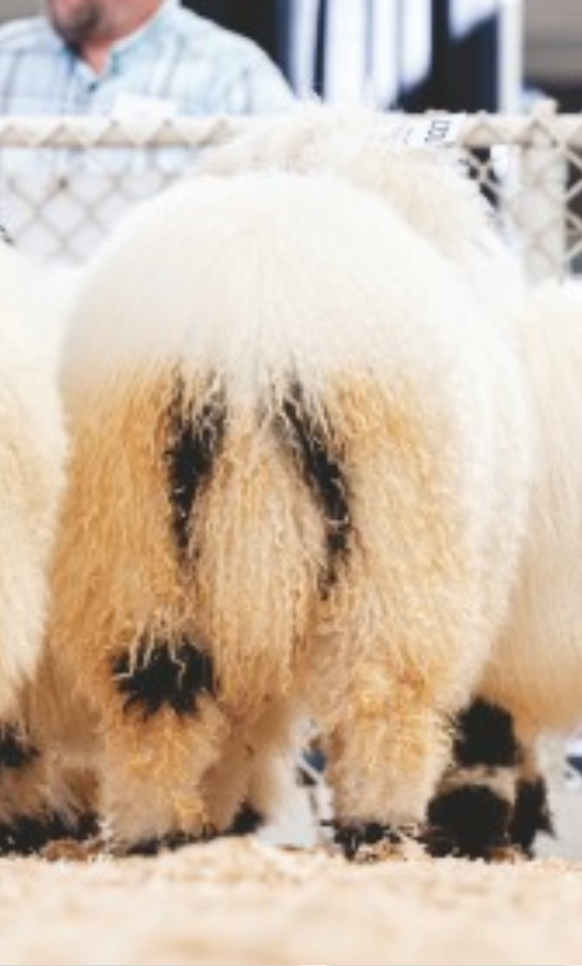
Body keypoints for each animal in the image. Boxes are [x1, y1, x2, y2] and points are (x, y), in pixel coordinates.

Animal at [34, 168, 532, 855]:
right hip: (395, 546)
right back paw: (379, 830)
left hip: (133, 535)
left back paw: (158, 831)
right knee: (380, 697)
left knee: (155, 696)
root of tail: (251, 324)